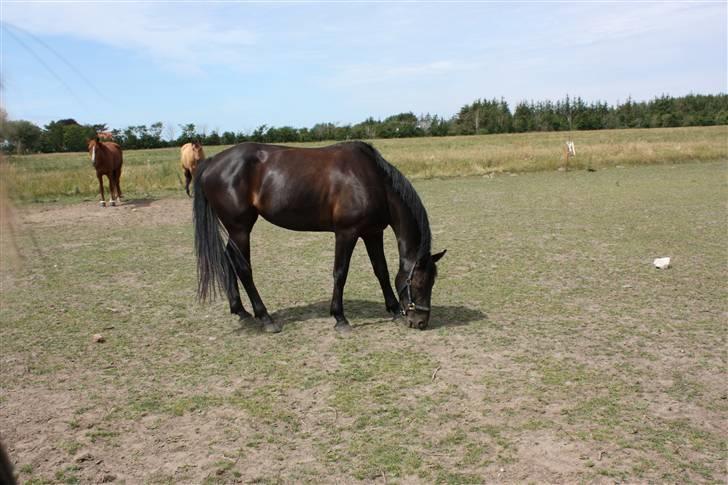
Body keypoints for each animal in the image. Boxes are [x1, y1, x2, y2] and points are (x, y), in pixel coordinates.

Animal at [193, 140, 444, 332]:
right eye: (419, 282)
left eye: (433, 282)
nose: (420, 322)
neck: (372, 180)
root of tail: (211, 163)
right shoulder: (346, 233)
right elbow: (340, 273)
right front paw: (340, 318)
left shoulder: (372, 232)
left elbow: (380, 270)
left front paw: (394, 310)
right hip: (240, 229)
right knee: (243, 268)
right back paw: (265, 318)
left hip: (237, 231)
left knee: (229, 258)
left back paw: (240, 310)